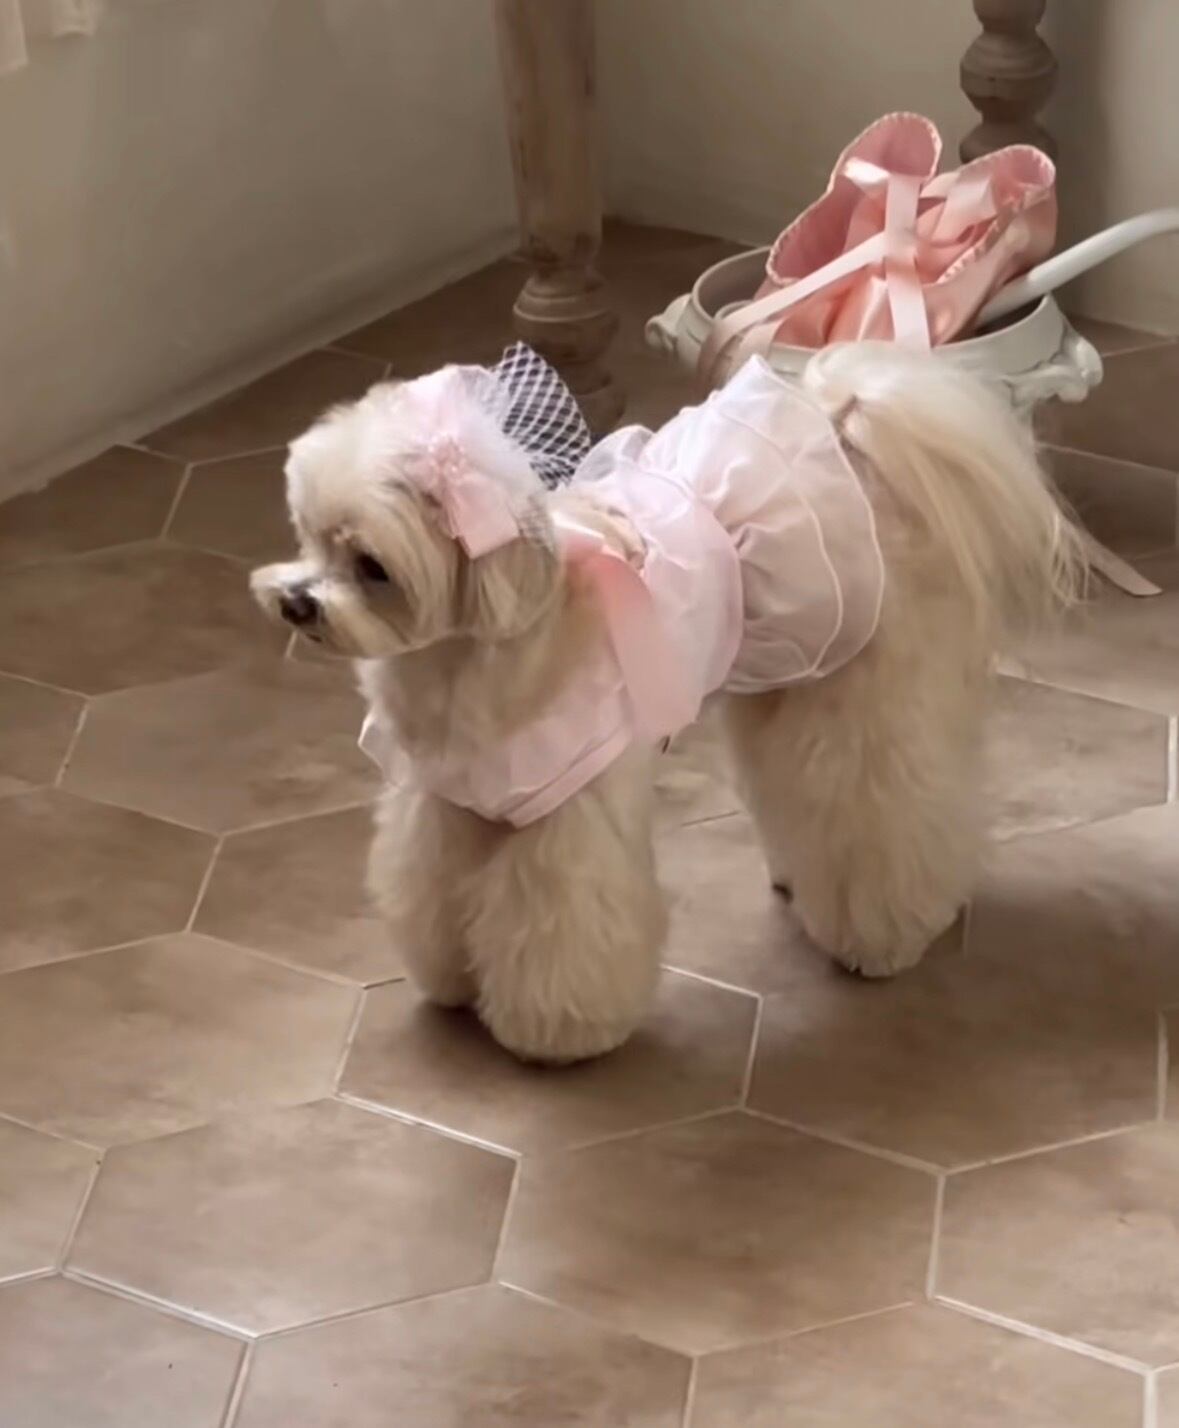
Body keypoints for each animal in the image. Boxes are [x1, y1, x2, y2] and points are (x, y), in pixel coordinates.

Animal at [252, 342, 1080, 1063]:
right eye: (309, 537)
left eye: (372, 567)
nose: (294, 603)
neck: (471, 652)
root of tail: (848, 433)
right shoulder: (446, 804)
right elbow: (429, 889)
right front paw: (453, 982)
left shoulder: (566, 818)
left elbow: (562, 924)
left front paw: (555, 1032)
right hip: (787, 678)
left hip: (861, 702)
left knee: (886, 813)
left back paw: (882, 938)